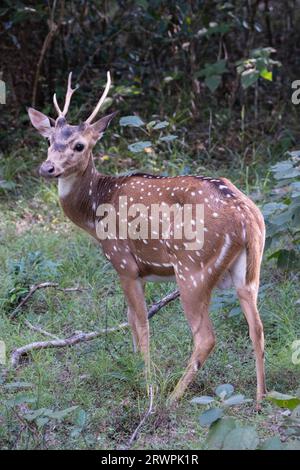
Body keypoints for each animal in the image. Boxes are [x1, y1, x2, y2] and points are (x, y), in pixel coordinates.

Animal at [28, 71, 266, 406]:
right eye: (49, 140)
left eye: (79, 145)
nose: (47, 167)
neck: (95, 210)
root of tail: (246, 215)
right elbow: (130, 322)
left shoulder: (124, 262)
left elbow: (141, 327)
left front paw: (147, 387)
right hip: (250, 271)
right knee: (257, 327)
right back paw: (260, 398)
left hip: (192, 268)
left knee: (206, 336)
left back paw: (171, 398)